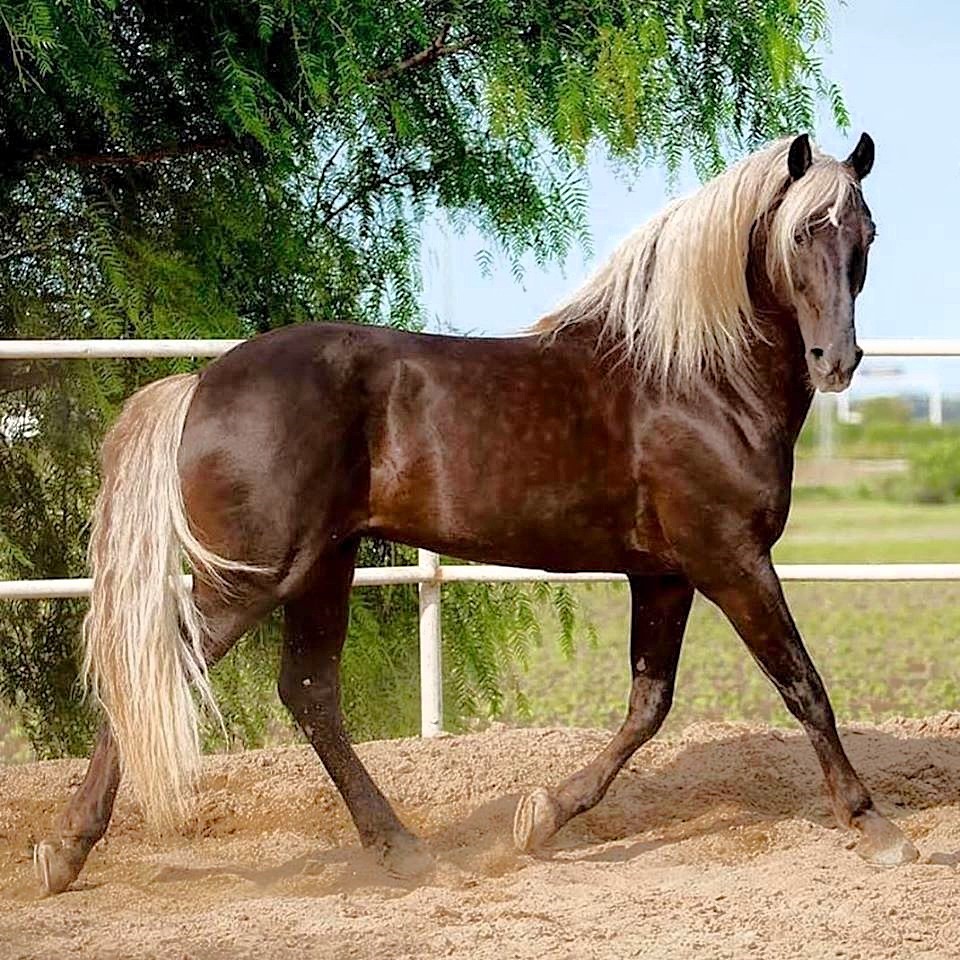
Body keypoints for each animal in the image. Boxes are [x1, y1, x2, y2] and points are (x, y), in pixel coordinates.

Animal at [34, 131, 919, 896]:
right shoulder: (729, 558)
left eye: (868, 233)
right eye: (802, 232)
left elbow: (648, 706)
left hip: (324, 566)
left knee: (310, 693)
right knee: (166, 672)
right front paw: (874, 826)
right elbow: (803, 685)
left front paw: (540, 819)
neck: (693, 377)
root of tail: (199, 385)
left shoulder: (665, 574)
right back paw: (67, 851)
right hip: (256, 577)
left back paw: (402, 850)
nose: (837, 361)